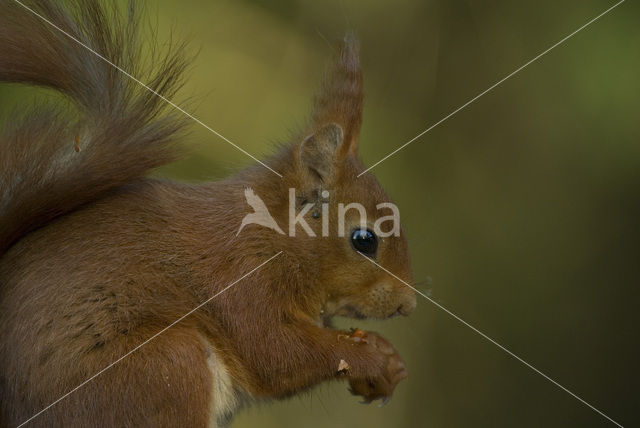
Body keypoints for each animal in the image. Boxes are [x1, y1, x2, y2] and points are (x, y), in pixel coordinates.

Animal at [0, 1, 418, 426]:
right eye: (364, 240)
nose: (408, 304)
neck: (273, 236)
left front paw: (388, 361)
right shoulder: (241, 280)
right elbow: (277, 353)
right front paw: (369, 357)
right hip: (166, 367)